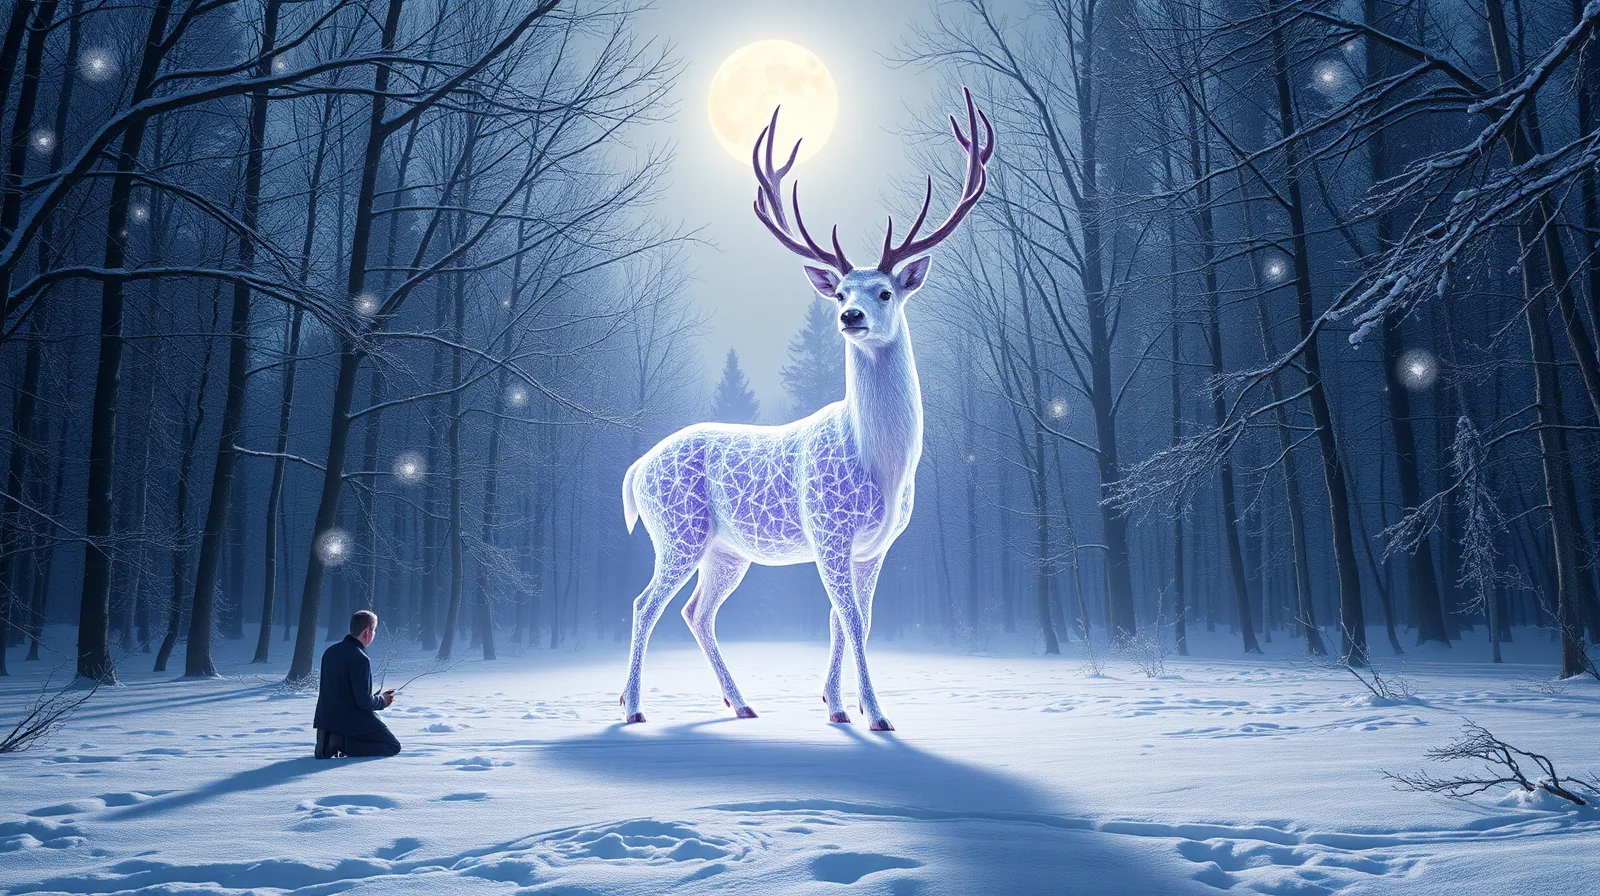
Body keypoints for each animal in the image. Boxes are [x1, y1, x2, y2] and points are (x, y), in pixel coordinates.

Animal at [618, 88, 993, 731]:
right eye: (841, 291)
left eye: (886, 291)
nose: (850, 316)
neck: (884, 467)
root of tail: (638, 467)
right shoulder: (829, 530)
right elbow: (853, 620)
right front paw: (875, 714)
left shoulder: (873, 546)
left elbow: (852, 620)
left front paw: (839, 707)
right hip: (676, 529)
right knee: (646, 603)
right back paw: (634, 708)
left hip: (725, 550)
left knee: (696, 611)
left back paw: (740, 703)